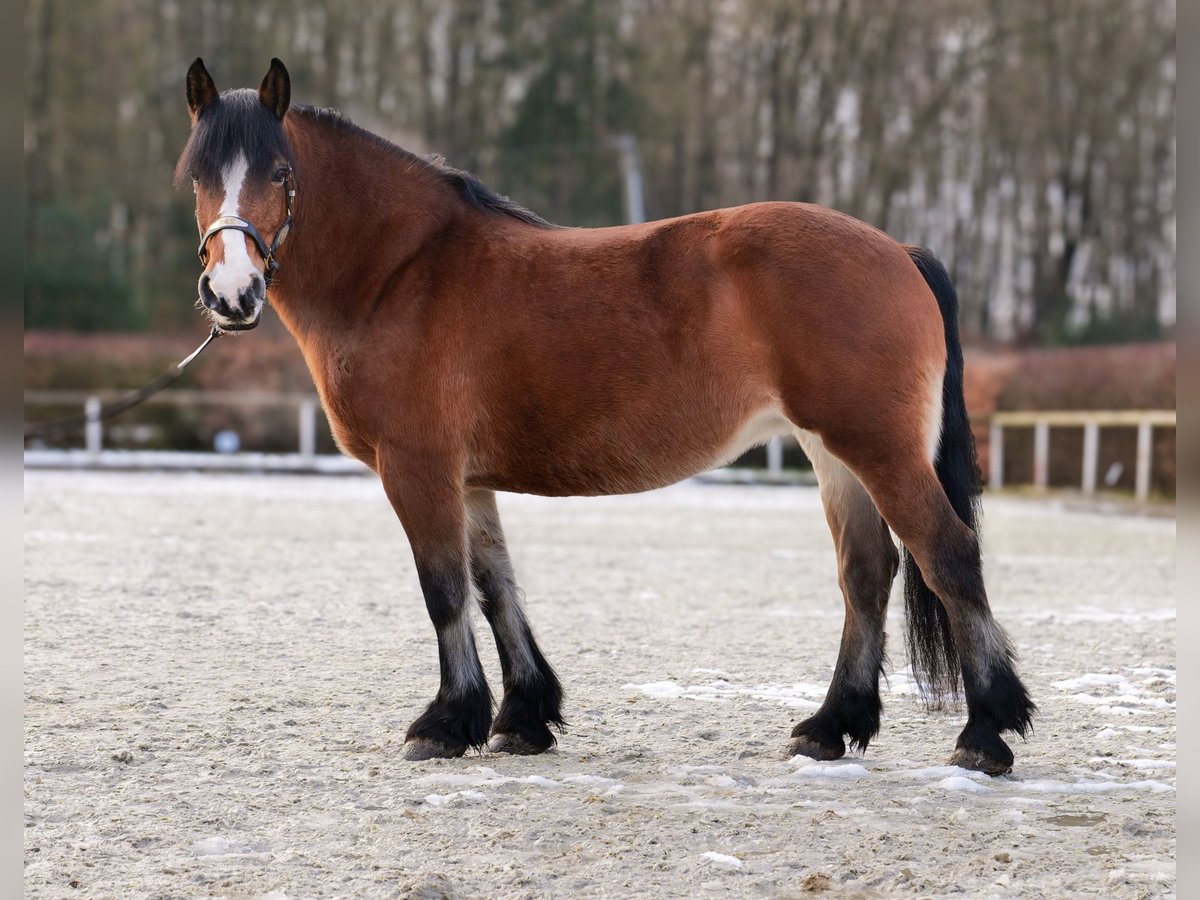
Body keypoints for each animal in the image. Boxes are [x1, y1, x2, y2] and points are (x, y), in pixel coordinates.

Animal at [175, 58, 1032, 777]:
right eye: (196, 177)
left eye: (281, 173)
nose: (231, 293)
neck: (402, 272)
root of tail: (899, 251)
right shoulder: (469, 479)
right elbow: (495, 586)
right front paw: (523, 718)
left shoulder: (418, 469)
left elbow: (444, 590)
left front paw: (446, 723)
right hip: (831, 453)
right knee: (867, 572)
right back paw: (828, 726)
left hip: (876, 448)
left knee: (946, 556)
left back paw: (984, 733)